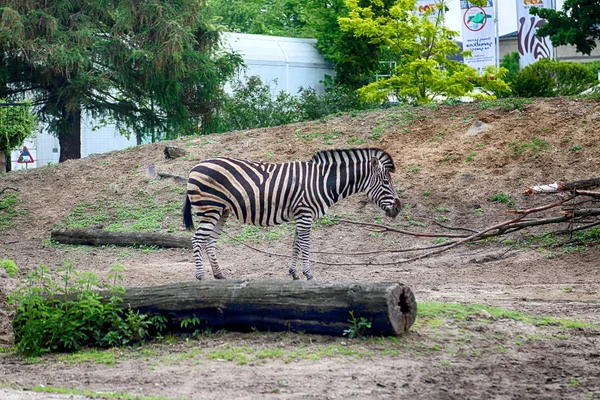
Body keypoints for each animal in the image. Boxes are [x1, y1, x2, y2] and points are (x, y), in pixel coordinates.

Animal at [180, 148, 400, 282]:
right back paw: (200, 276)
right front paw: (309, 274)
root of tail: (194, 167)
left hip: (221, 211)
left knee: (210, 241)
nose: (398, 208)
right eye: (386, 182)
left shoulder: (300, 214)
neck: (323, 181)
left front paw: (294, 273)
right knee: (197, 239)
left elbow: (296, 244)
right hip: (210, 208)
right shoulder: (305, 214)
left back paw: (219, 275)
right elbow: (305, 245)